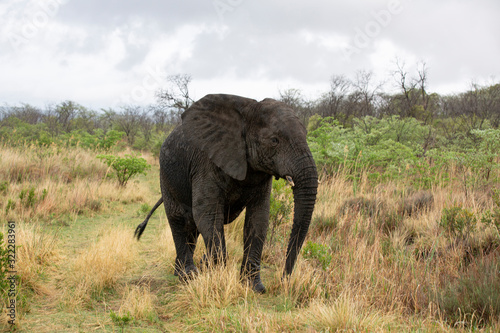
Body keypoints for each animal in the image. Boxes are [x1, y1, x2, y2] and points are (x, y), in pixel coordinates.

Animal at [135, 92, 318, 290]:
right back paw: (188, 275)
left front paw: (254, 287)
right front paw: (218, 280)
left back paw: (183, 272)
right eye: (274, 140)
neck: (248, 112)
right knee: (179, 219)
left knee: (192, 226)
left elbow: (259, 218)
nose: (284, 280)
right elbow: (207, 214)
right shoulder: (205, 163)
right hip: (166, 177)